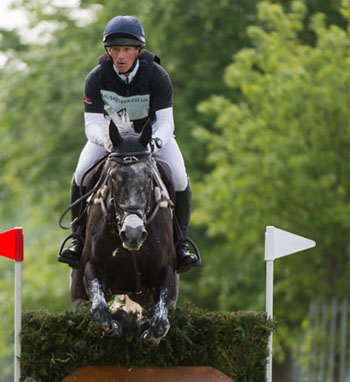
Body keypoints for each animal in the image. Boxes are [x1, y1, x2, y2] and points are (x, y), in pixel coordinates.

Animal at [69, 118, 178, 346]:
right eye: (113, 177)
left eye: (149, 176)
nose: (133, 233)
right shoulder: (91, 266)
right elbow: (100, 311)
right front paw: (116, 323)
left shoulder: (166, 271)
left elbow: (160, 323)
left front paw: (147, 333)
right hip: (78, 292)